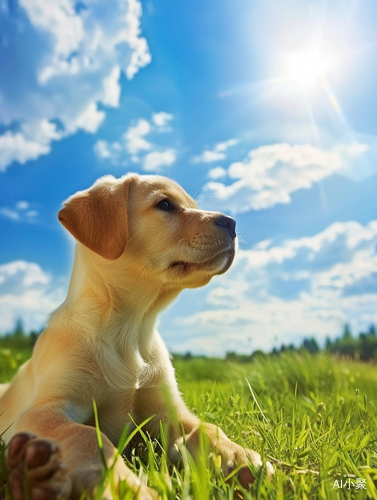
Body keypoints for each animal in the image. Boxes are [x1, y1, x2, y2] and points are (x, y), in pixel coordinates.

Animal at [0, 174, 272, 498]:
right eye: (164, 205)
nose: (232, 223)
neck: (131, 329)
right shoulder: (44, 410)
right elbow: (89, 438)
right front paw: (128, 487)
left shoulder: (168, 413)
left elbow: (207, 428)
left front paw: (241, 458)